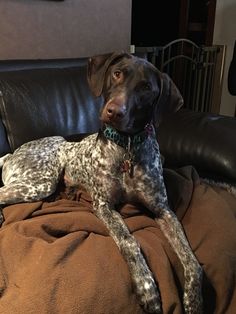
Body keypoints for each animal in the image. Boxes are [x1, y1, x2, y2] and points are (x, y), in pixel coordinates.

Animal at [0, 52, 203, 312]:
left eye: (146, 88)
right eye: (117, 74)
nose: (114, 111)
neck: (127, 147)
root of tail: (11, 154)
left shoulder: (163, 209)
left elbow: (190, 258)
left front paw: (193, 299)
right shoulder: (104, 206)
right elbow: (129, 242)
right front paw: (146, 287)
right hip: (39, 182)